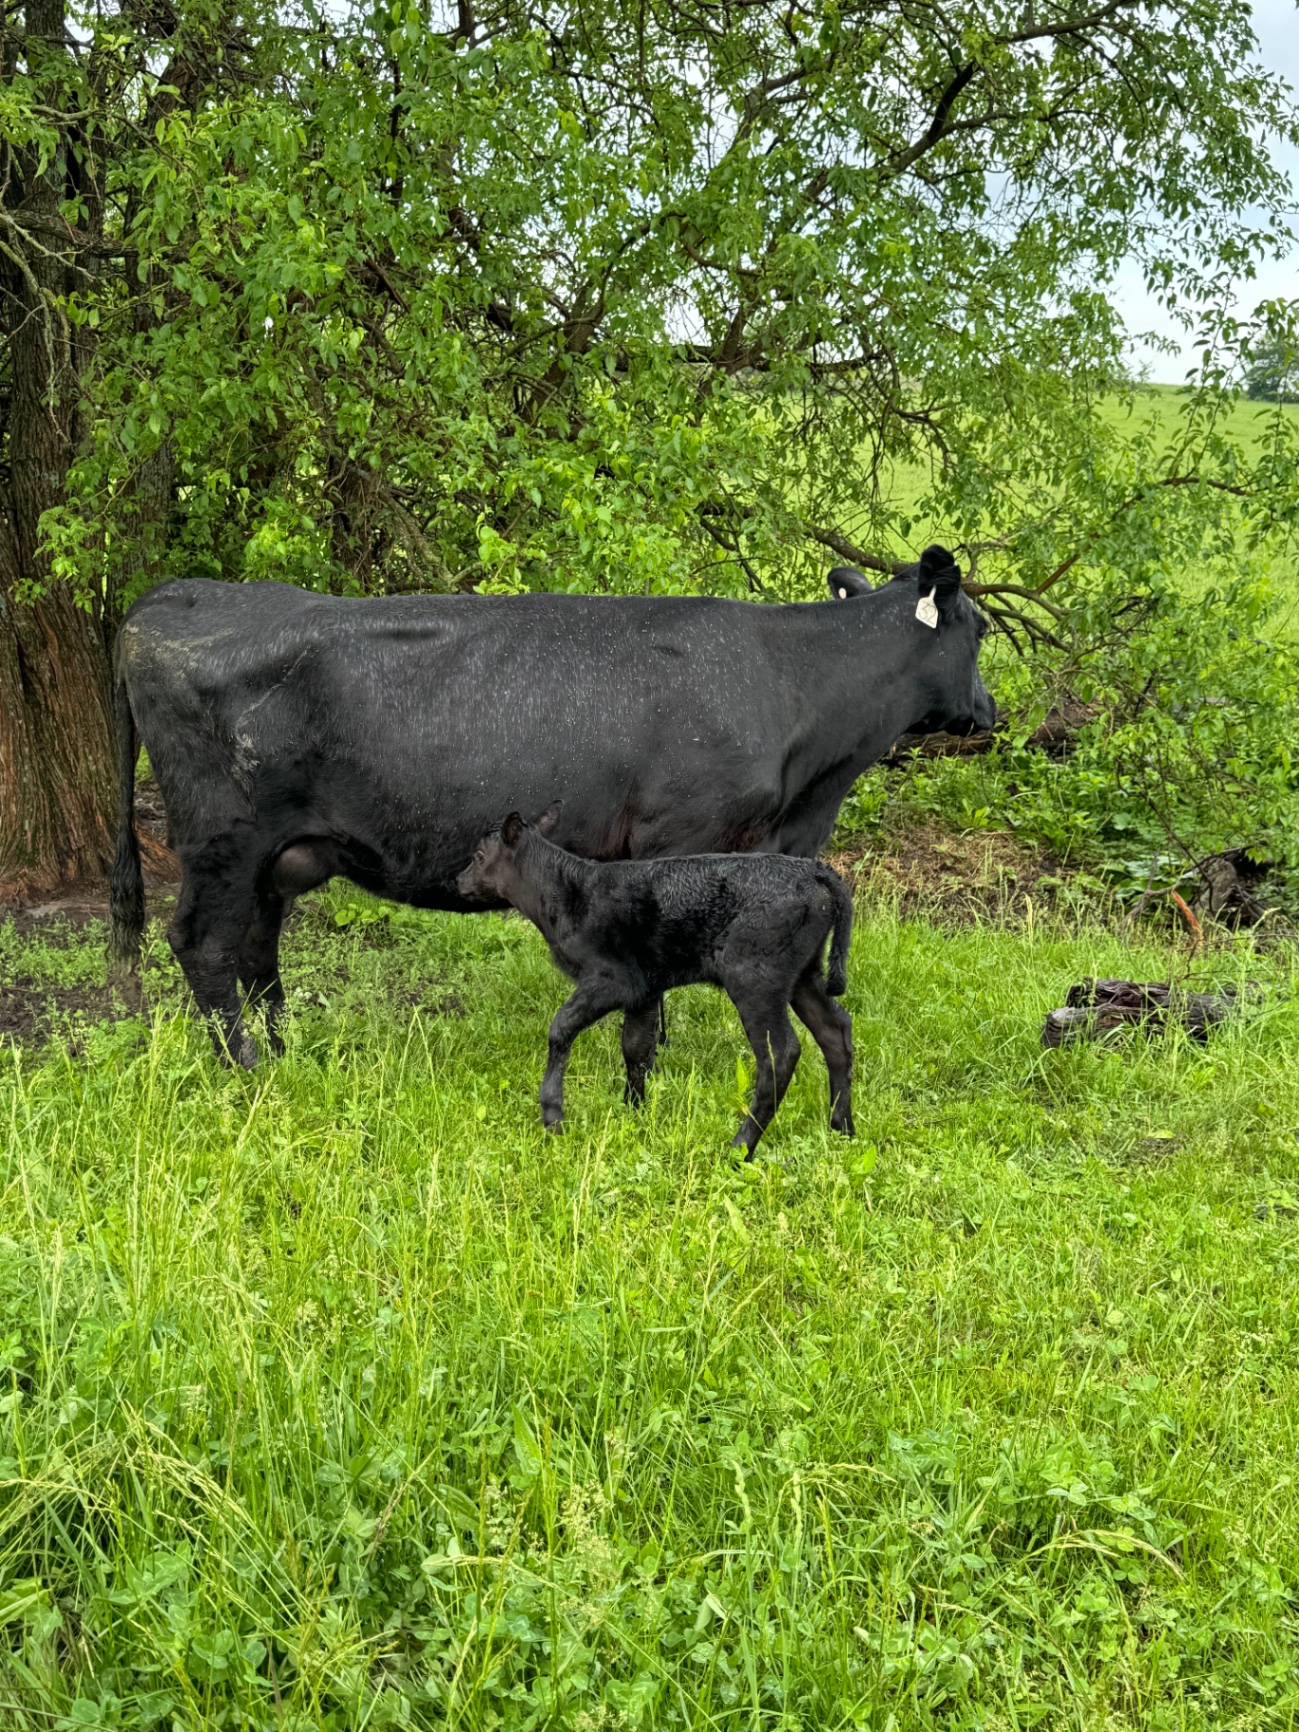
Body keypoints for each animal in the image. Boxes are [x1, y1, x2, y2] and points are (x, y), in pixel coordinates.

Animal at [108, 543, 994, 1066]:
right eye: (981, 630)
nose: (990, 711)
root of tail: (172, 595)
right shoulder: (680, 837)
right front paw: (652, 1060)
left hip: (277, 854)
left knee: (256, 949)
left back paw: (289, 1050)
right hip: (222, 837)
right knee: (202, 944)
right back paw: (245, 1066)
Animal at [456, 813, 855, 1151]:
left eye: (478, 855)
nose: (458, 881)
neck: (567, 894)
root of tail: (813, 869)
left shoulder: (613, 979)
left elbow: (561, 1028)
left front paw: (553, 1114)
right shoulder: (646, 989)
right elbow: (636, 1048)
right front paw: (634, 1111)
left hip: (754, 977)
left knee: (780, 1053)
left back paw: (741, 1145)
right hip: (802, 974)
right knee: (835, 1030)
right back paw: (842, 1127)